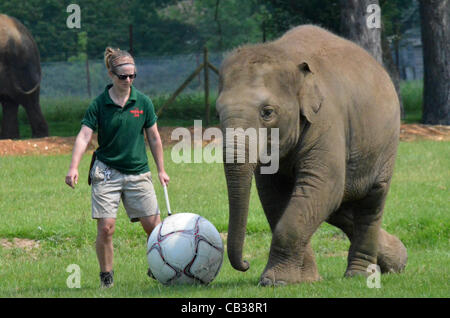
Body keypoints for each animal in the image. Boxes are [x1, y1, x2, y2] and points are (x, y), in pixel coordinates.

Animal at [216, 24, 410, 286]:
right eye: (217, 113)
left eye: (267, 112)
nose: (245, 264)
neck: (284, 55)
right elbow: (275, 196)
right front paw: (305, 280)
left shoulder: (327, 121)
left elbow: (322, 184)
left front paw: (273, 281)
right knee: (339, 206)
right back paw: (398, 260)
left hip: (386, 145)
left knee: (370, 202)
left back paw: (359, 275)